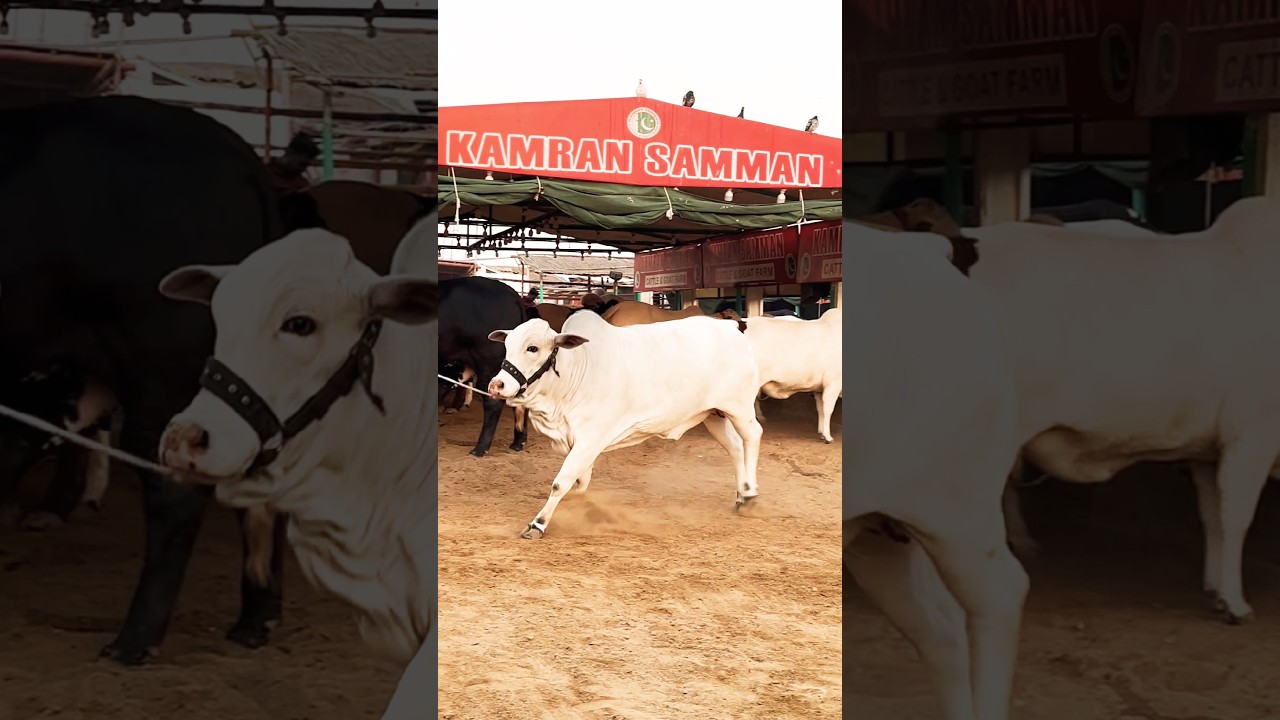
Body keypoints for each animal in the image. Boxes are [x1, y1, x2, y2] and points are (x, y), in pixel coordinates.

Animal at [486, 310, 764, 539]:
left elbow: (561, 482)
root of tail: (731, 328)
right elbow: (580, 483)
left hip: (739, 408)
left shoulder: (590, 439)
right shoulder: (580, 444)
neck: (577, 370)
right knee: (735, 448)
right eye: (507, 346)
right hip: (714, 415)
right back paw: (741, 494)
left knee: (752, 436)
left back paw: (750, 495)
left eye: (532, 348)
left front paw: (538, 524)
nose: (497, 385)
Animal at [955, 197, 1280, 624]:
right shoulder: (1253, 434)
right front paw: (1236, 602)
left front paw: (1215, 590)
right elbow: (1236, 517)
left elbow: (1213, 518)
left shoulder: (1210, 449)